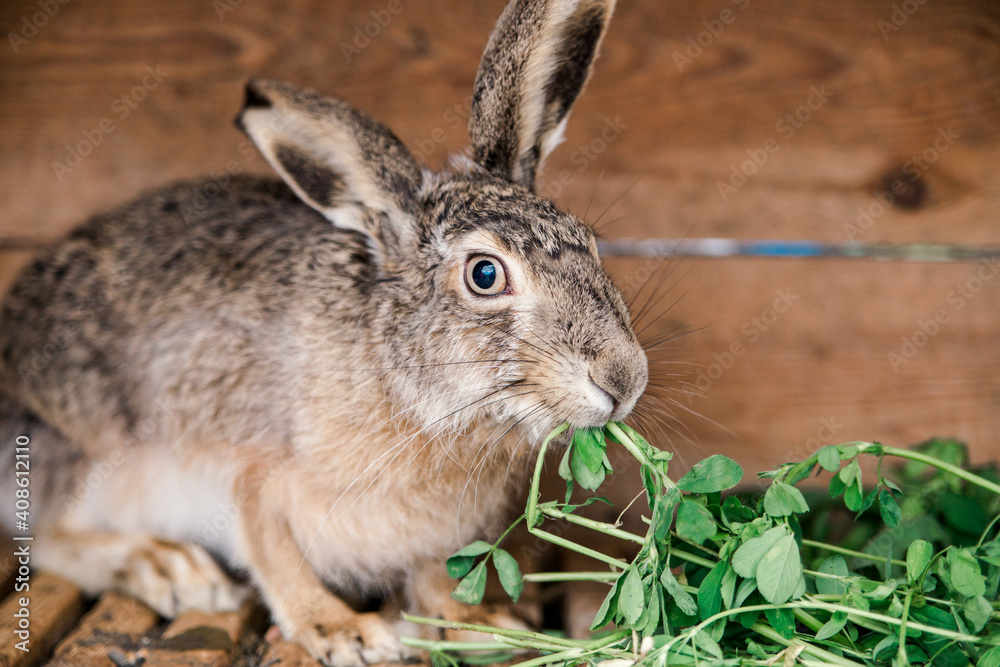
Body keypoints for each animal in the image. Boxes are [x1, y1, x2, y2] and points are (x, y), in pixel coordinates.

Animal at [0, 0, 647, 664]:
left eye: (591, 242)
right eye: (485, 274)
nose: (624, 380)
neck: (404, 378)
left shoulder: (434, 537)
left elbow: (435, 582)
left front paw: (480, 625)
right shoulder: (252, 473)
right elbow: (274, 554)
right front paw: (342, 632)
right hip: (84, 447)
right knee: (45, 535)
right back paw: (170, 570)